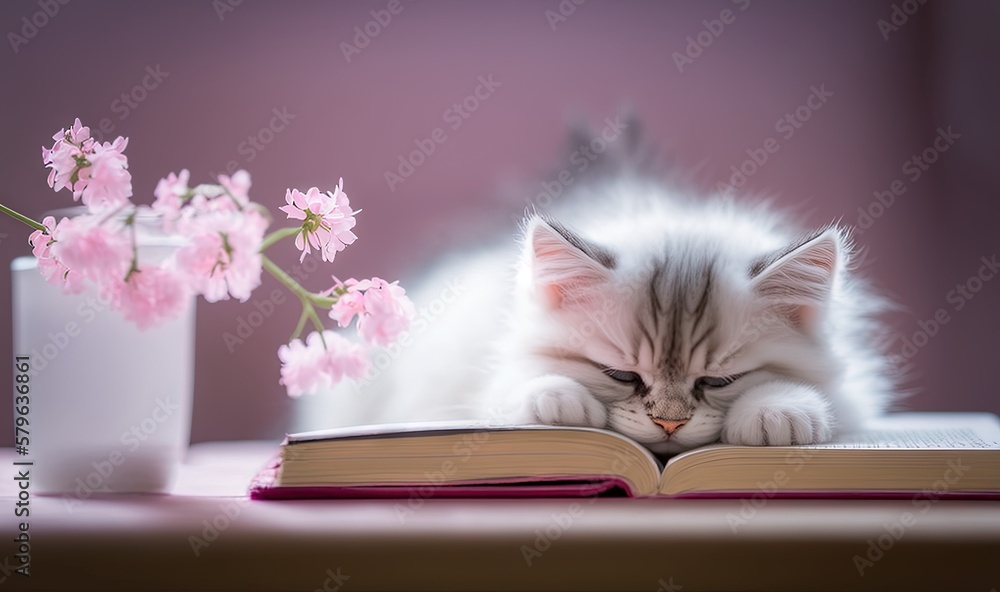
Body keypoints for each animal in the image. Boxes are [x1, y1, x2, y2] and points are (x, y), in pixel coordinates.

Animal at [294, 176, 892, 454]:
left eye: (719, 380)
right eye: (620, 375)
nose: (669, 424)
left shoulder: (853, 390)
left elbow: (822, 399)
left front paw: (777, 412)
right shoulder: (487, 378)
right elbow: (520, 386)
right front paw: (557, 402)